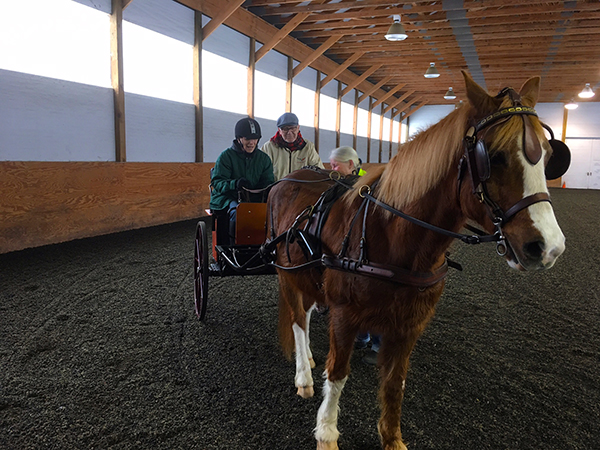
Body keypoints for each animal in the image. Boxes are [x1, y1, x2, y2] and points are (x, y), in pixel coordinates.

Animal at [266, 72, 568, 448]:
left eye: (547, 154)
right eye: (494, 157)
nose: (549, 246)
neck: (393, 237)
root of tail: (288, 179)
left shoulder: (409, 325)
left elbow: (395, 383)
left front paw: (392, 437)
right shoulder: (344, 316)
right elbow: (337, 373)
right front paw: (326, 431)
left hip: (306, 272)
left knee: (305, 316)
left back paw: (305, 355)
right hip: (286, 273)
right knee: (297, 320)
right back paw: (304, 376)